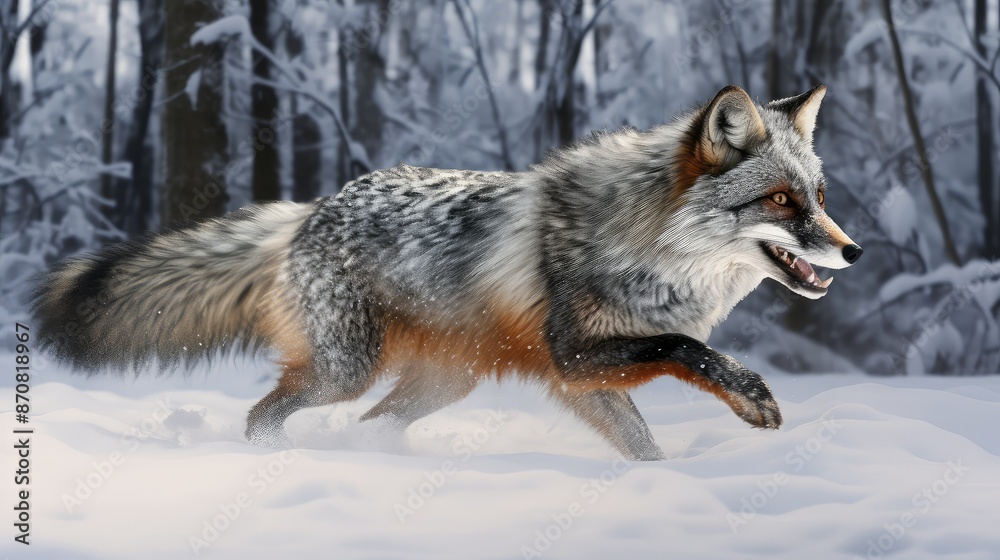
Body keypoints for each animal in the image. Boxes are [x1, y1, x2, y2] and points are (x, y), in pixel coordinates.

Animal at [32, 84, 862, 461]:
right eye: (781, 201)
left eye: (819, 197)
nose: (852, 252)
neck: (645, 245)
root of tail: (312, 208)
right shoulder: (575, 355)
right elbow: (689, 349)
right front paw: (752, 398)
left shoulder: (580, 379)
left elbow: (645, 442)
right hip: (346, 370)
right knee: (264, 412)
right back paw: (272, 457)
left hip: (439, 384)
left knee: (370, 424)